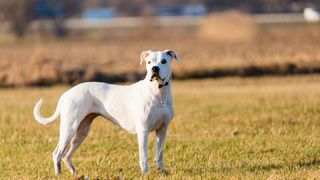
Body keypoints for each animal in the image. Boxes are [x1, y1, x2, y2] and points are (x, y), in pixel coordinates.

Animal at [34, 49, 181, 176]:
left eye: (163, 61)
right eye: (149, 62)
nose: (154, 69)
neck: (157, 91)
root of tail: (66, 94)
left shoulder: (162, 130)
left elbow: (159, 153)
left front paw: (162, 171)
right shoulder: (143, 130)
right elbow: (143, 155)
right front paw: (145, 173)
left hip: (81, 131)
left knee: (66, 155)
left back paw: (74, 173)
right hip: (69, 129)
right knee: (57, 153)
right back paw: (58, 174)